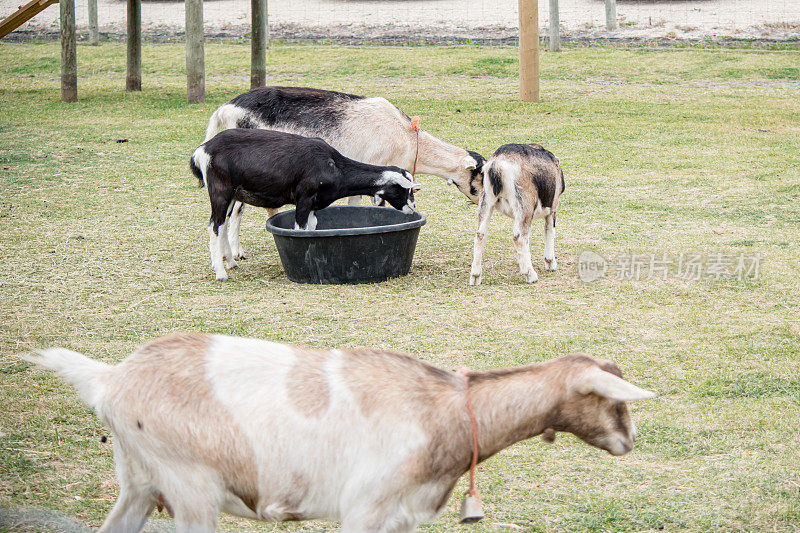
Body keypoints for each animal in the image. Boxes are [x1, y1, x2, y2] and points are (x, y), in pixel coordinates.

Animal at [26, 330, 648, 528]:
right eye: (614, 403)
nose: (629, 442)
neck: (446, 408)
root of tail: (110, 380)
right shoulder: (365, 508)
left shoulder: (401, 518)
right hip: (189, 488)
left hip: (139, 480)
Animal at [192, 128, 418, 280]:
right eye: (404, 189)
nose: (412, 208)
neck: (334, 165)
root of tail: (202, 150)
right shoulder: (304, 198)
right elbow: (299, 231)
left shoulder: (313, 205)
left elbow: (312, 229)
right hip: (220, 191)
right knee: (214, 227)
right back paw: (221, 272)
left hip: (232, 195)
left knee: (222, 225)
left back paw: (230, 262)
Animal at [203, 85, 484, 260]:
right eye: (479, 177)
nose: (482, 201)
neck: (407, 137)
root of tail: (226, 109)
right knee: (234, 211)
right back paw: (235, 253)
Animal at [468, 140, 564, 282]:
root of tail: (497, 165)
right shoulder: (552, 208)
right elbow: (549, 231)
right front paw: (550, 263)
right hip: (525, 205)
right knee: (519, 236)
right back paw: (530, 275)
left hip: (486, 200)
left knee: (480, 234)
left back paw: (475, 276)